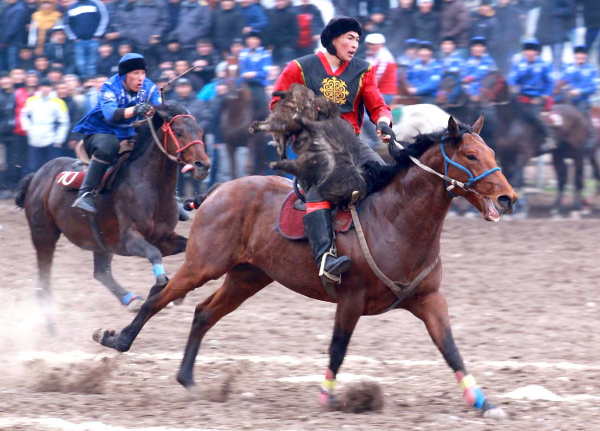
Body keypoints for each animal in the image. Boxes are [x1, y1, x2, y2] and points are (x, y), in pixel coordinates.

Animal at [14, 103, 210, 331]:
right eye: (178, 132)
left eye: (201, 132)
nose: (203, 165)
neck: (151, 186)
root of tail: (36, 176)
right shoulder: (129, 239)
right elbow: (154, 254)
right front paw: (163, 283)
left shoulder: (163, 237)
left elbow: (186, 247)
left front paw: (179, 291)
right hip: (44, 235)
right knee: (43, 284)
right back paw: (51, 327)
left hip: (99, 241)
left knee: (101, 272)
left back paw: (131, 300)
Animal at [92, 114, 518, 419]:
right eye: (470, 156)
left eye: (491, 153)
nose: (508, 197)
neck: (395, 219)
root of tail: (221, 188)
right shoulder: (351, 299)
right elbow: (337, 348)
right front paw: (327, 398)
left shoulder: (430, 300)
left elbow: (450, 349)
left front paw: (482, 401)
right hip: (203, 264)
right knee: (158, 295)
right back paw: (117, 340)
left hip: (247, 277)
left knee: (203, 312)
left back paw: (189, 379)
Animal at [481, 71, 592, 213]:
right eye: (484, 80)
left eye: (494, 82)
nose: (481, 98)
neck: (511, 122)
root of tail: (580, 115)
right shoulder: (505, 155)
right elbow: (509, 178)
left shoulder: (523, 155)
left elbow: (517, 179)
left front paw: (521, 208)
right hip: (559, 153)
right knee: (562, 176)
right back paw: (557, 207)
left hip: (577, 152)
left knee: (578, 176)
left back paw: (577, 206)